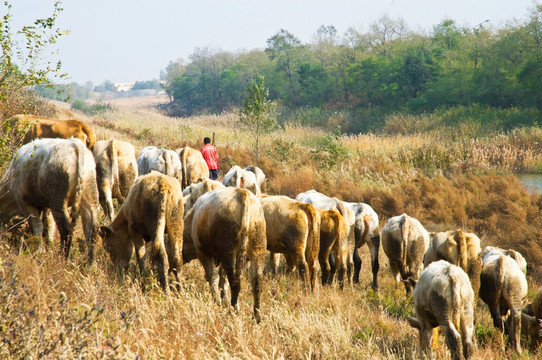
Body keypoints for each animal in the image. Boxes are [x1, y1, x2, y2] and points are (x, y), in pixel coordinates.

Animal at [191, 187, 268, 322]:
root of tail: (242, 193)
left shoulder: (203, 252)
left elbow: (213, 277)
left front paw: (217, 302)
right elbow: (222, 278)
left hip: (229, 251)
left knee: (235, 283)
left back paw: (233, 311)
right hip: (258, 248)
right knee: (257, 282)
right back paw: (256, 316)